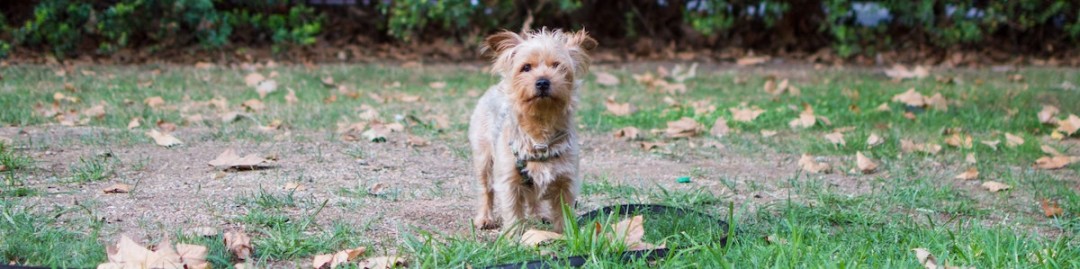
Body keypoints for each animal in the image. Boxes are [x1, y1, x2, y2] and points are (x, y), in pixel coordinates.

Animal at [466, 27, 596, 233]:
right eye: (526, 67)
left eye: (558, 66)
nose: (543, 82)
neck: (540, 131)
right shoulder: (509, 181)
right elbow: (512, 211)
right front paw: (513, 237)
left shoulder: (566, 181)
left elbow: (564, 213)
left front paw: (566, 235)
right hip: (483, 158)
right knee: (486, 189)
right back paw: (485, 218)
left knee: (533, 197)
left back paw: (538, 215)